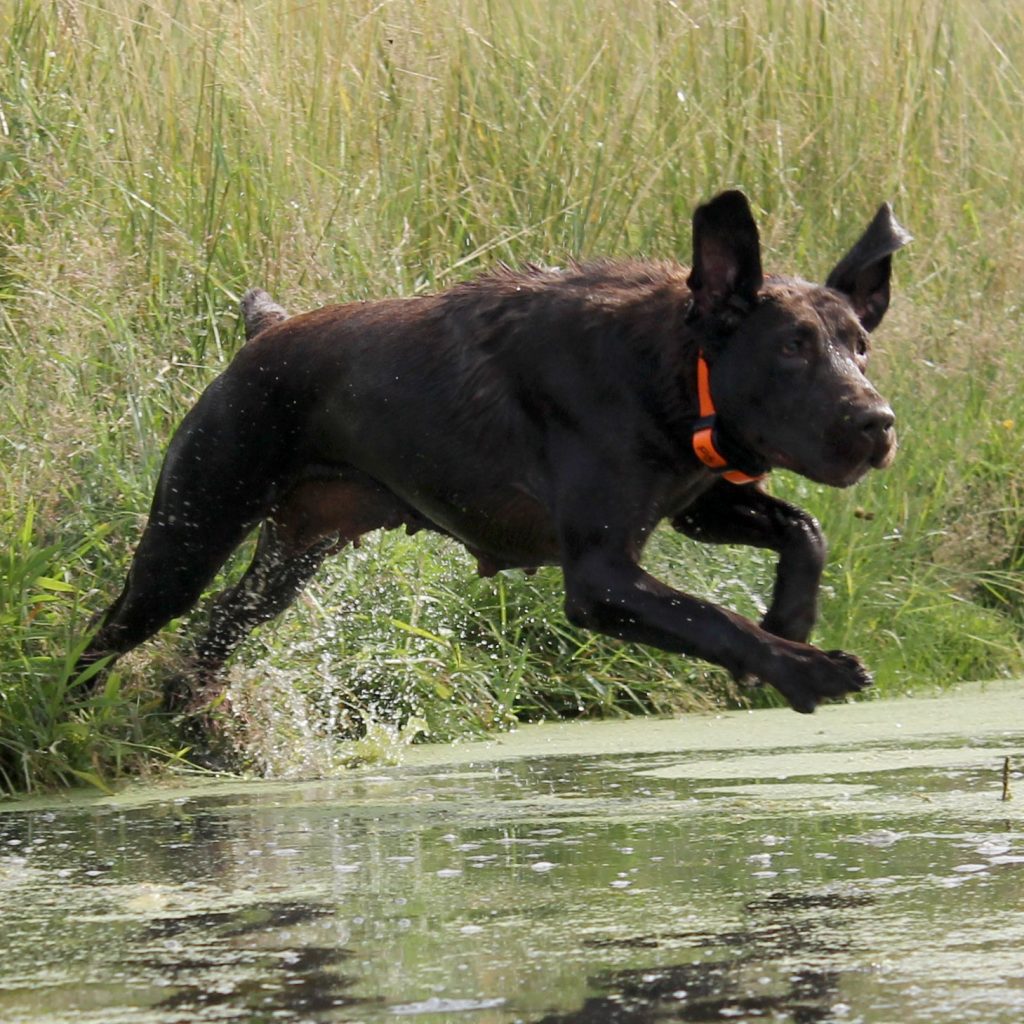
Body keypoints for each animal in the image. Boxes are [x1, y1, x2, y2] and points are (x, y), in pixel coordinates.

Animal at [79, 193, 913, 720]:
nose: (878, 423)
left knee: (218, 627)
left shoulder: (695, 503)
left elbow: (804, 531)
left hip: (293, 551)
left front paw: (792, 621)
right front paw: (806, 668)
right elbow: (716, 619)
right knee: (110, 631)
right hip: (192, 530)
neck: (671, 372)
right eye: (791, 348)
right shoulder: (601, 577)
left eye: (860, 347)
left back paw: (193, 717)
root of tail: (262, 334)